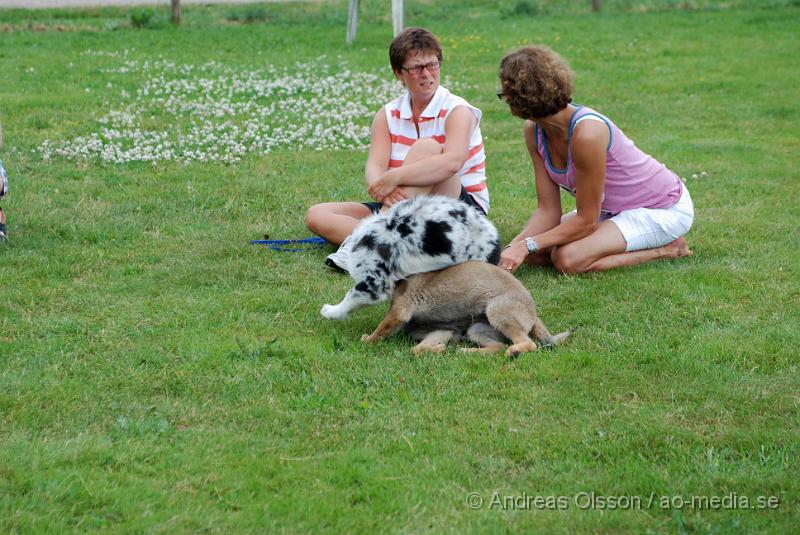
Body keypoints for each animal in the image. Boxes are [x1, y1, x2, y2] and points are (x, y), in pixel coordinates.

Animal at [362, 262, 568, 358]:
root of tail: (533, 315)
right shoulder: (442, 331)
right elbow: (416, 349)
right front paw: (437, 350)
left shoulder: (399, 311)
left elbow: (380, 331)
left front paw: (368, 339)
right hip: (476, 329)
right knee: (498, 347)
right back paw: (465, 351)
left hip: (497, 311)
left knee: (528, 344)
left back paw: (514, 352)